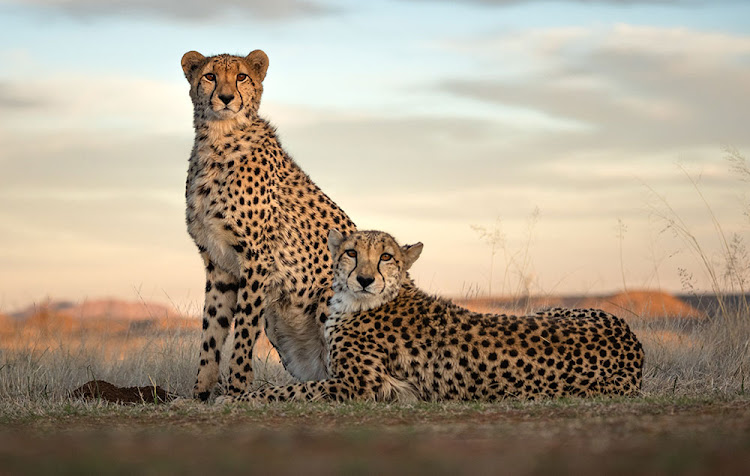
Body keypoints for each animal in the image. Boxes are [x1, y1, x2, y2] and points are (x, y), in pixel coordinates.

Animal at [183, 49, 358, 398]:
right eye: (210, 76)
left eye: (241, 77)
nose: (226, 97)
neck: (218, 140)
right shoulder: (218, 264)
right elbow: (212, 330)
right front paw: (201, 392)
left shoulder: (257, 258)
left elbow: (243, 328)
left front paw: (237, 390)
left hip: (328, 295)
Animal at [222, 229, 648, 404]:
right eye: (351, 253)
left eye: (386, 257)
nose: (365, 278)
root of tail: (631, 341)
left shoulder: (357, 386)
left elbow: (289, 390)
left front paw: (238, 396)